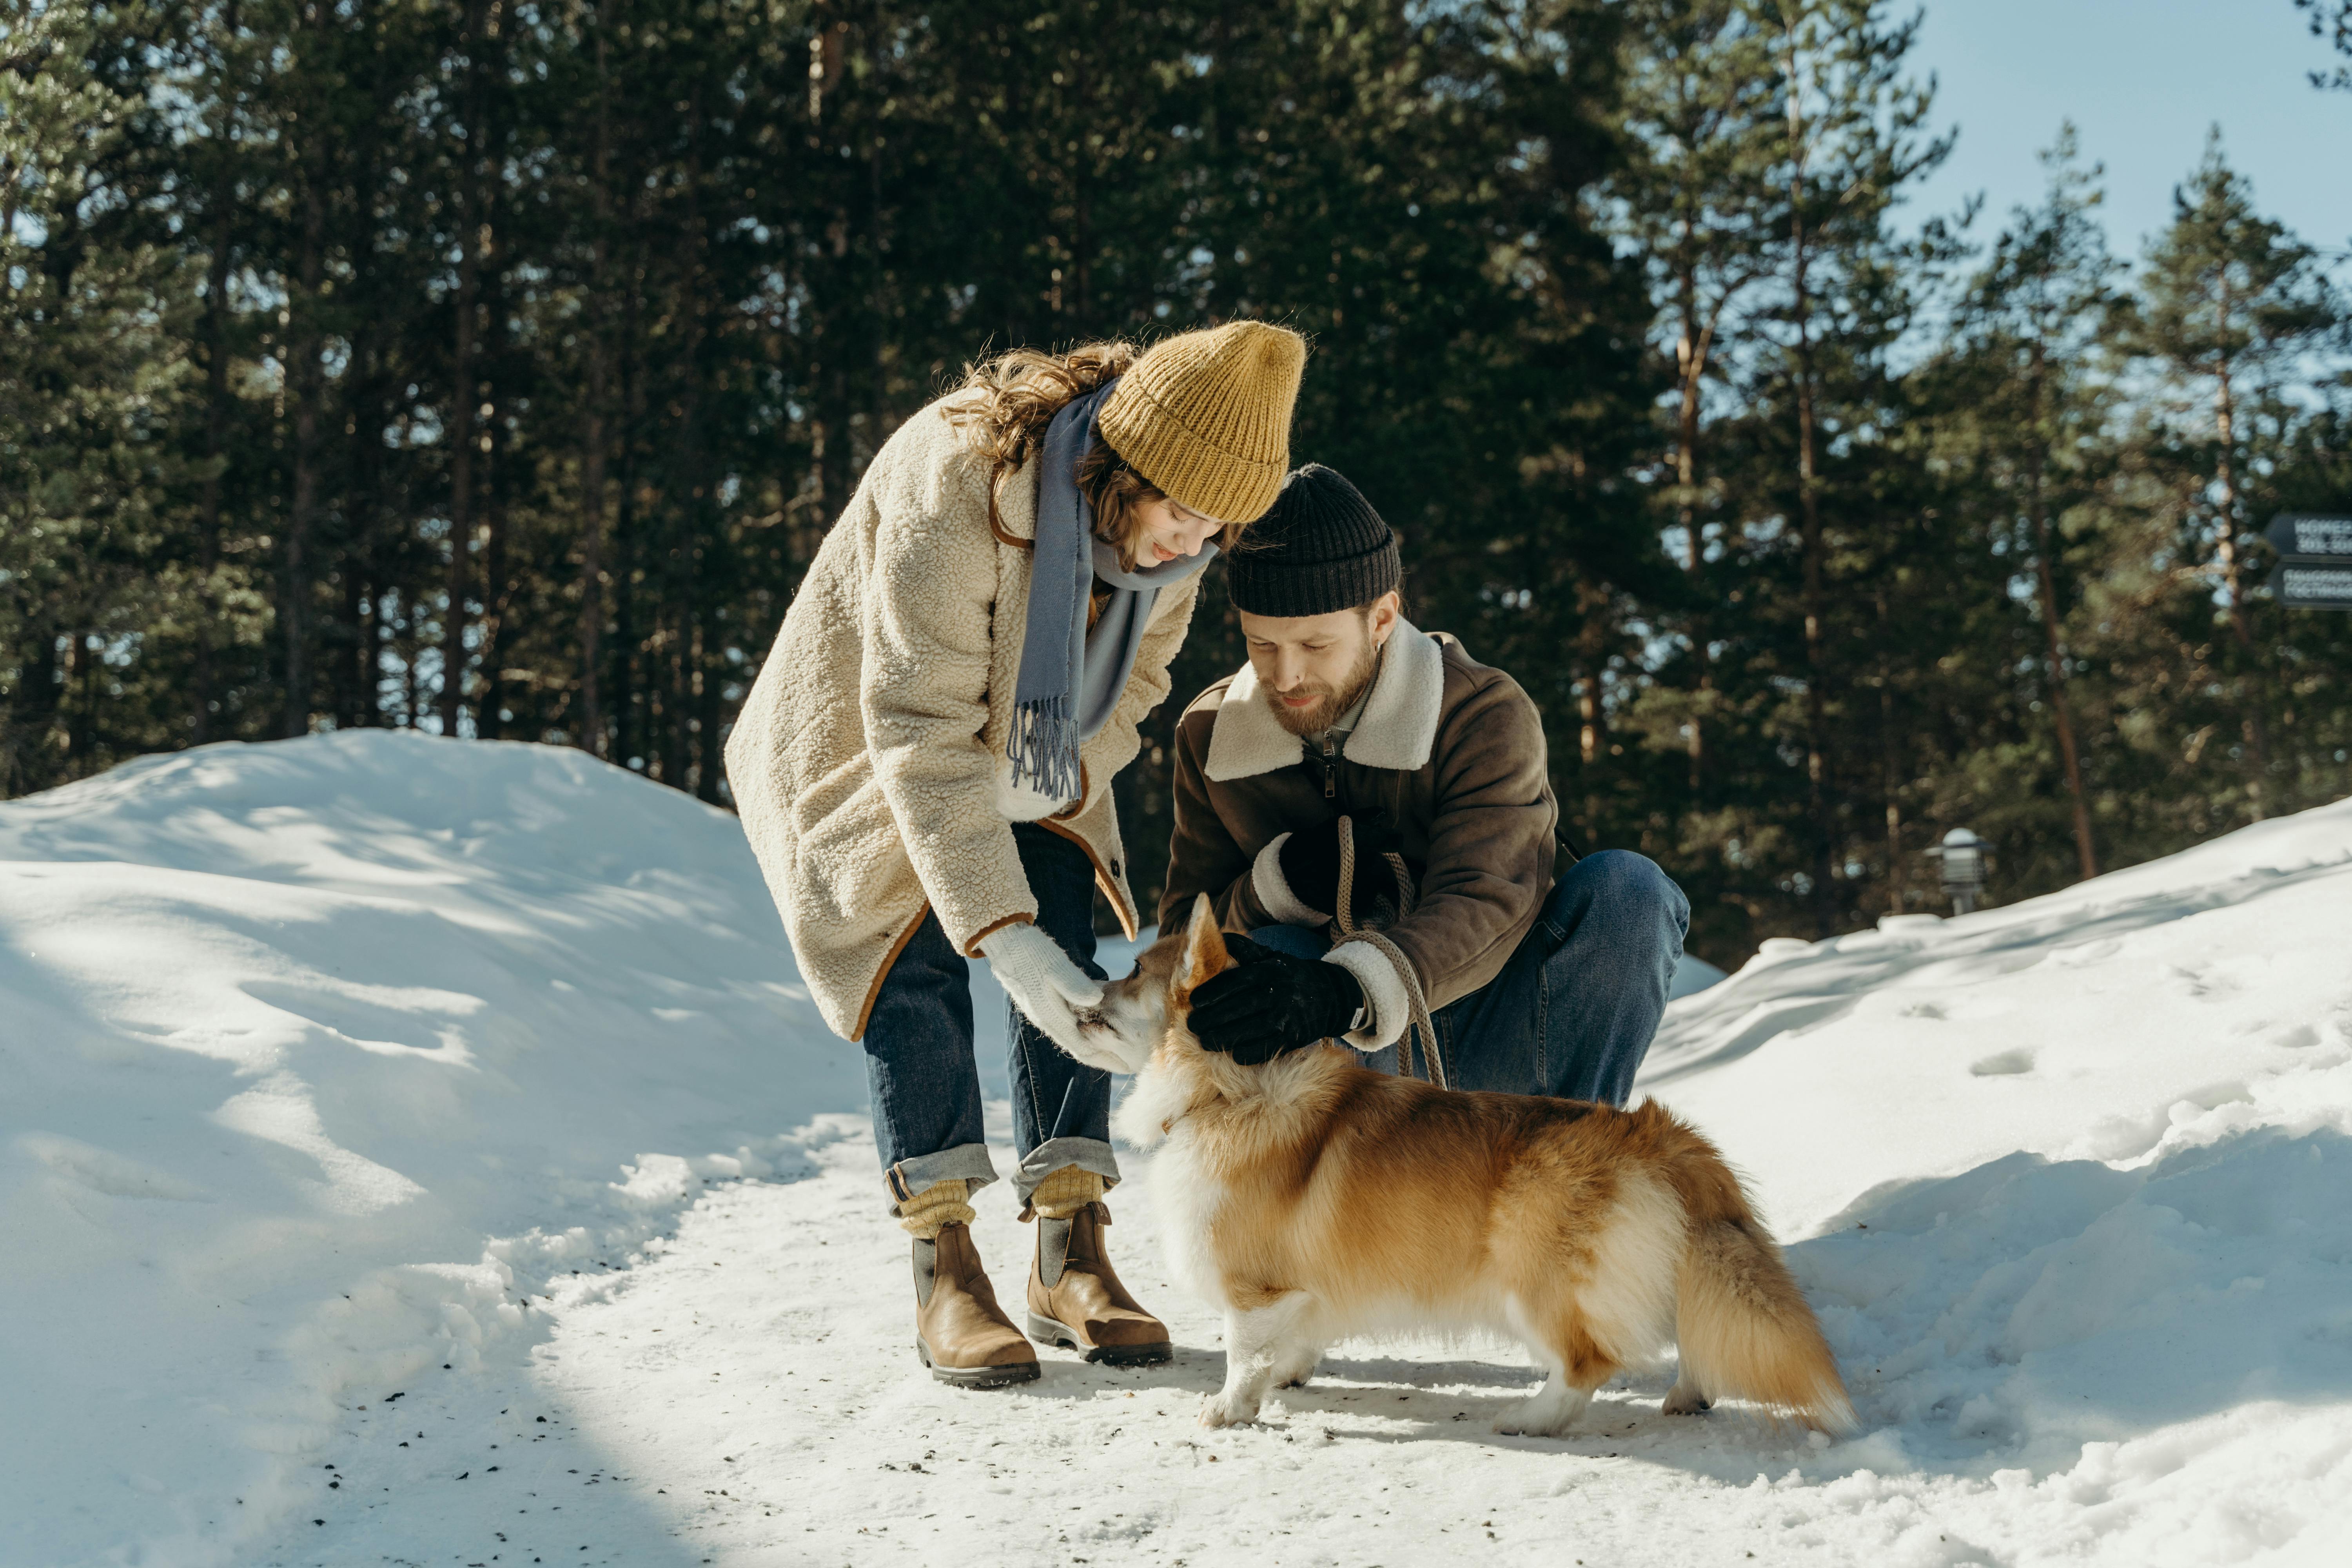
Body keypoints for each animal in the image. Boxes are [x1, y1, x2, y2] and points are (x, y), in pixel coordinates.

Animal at [1068, 902, 1853, 1439]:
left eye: (1133, 972)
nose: (1079, 998)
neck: (1227, 1089)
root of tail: (1666, 1138)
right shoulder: (1296, 1293)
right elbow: (1290, 1342)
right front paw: (1286, 1378)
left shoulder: (1254, 1290)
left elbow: (1241, 1355)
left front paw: (1228, 1410)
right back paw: (1688, 1395)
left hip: (1537, 1285)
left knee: (1587, 1363)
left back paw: (1530, 1418)